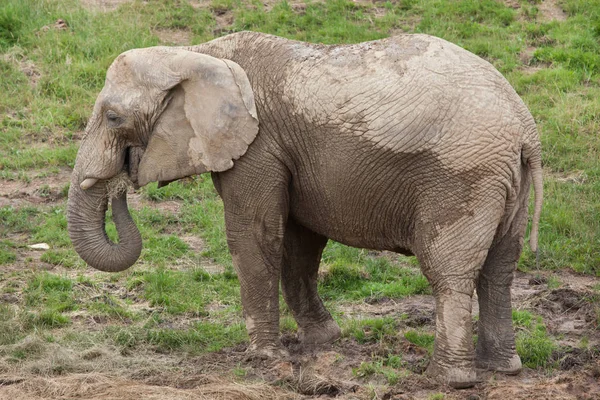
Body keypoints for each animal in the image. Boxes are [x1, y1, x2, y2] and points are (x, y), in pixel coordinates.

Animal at [67, 32, 544, 390]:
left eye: (113, 118)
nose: (122, 181)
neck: (197, 52)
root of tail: (526, 129)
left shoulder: (257, 145)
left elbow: (254, 233)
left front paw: (263, 358)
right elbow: (300, 240)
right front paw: (323, 340)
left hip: (462, 178)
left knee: (450, 272)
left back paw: (447, 381)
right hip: (504, 181)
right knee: (499, 270)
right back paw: (503, 369)